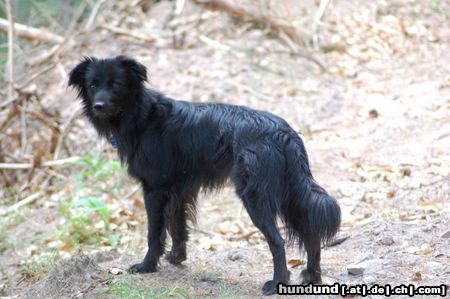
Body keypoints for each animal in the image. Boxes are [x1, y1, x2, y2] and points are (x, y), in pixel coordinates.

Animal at [68, 55, 340, 296]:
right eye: (93, 85)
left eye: (116, 84)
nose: (99, 106)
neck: (142, 116)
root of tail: (284, 133)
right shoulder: (178, 190)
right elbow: (177, 226)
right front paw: (177, 258)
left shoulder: (154, 189)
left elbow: (154, 232)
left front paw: (147, 266)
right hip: (290, 193)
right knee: (310, 231)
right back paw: (312, 276)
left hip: (256, 197)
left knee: (278, 241)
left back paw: (276, 283)